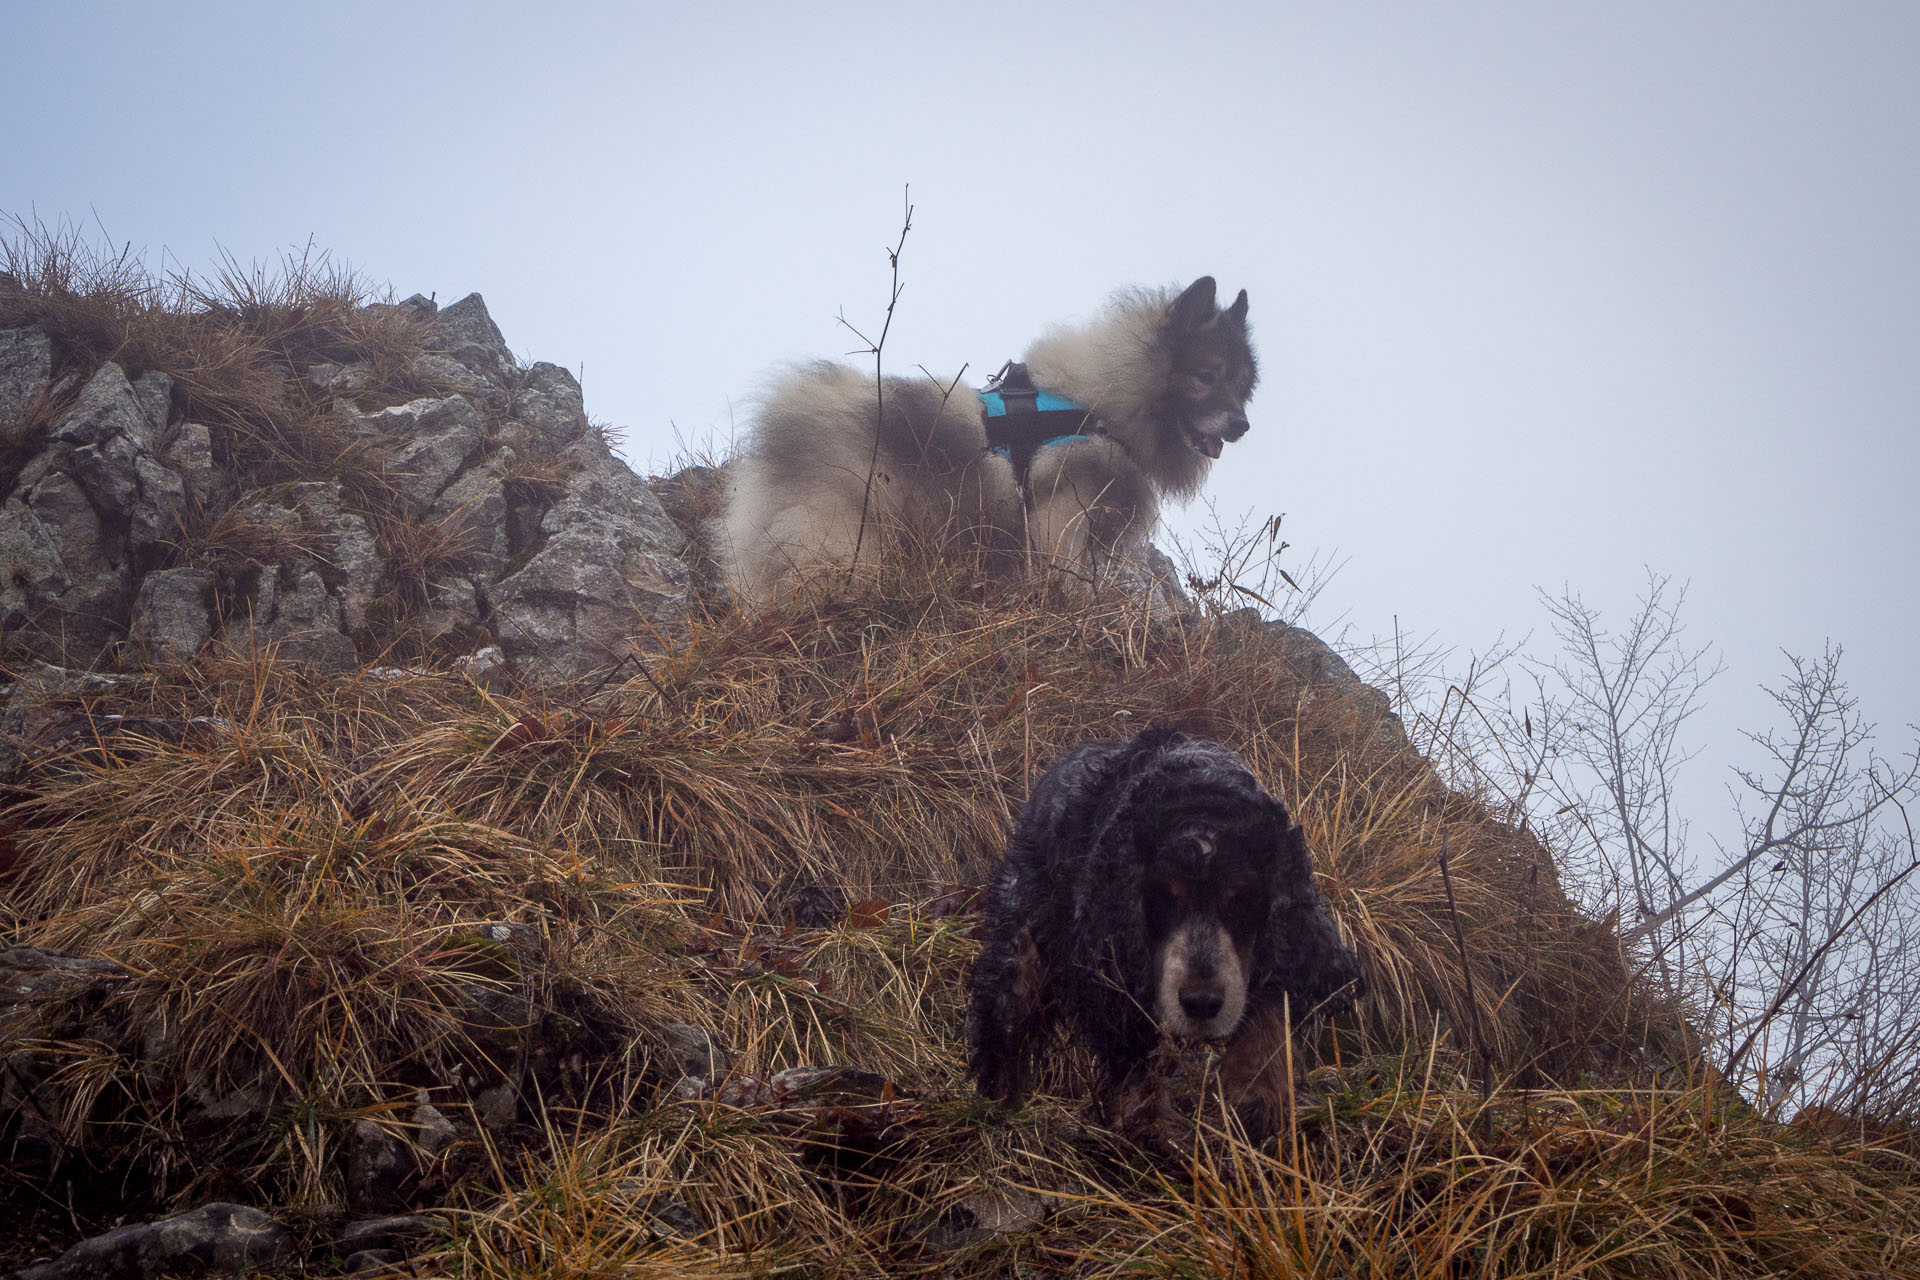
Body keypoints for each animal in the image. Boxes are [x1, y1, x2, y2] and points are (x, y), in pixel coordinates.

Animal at [721, 276, 1259, 606]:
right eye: (1206, 377)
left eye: (1241, 385)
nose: (1242, 426)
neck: (1101, 403)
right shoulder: (1062, 519)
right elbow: (1073, 584)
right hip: (841, 542)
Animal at [967, 729, 1359, 1143]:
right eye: (1162, 898)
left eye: (1240, 900)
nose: (1201, 1003)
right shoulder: (1116, 958)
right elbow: (1134, 1050)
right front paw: (1147, 1122)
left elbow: (1270, 1001)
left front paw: (1255, 1090)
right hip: (1023, 932)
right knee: (1007, 1014)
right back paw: (1001, 1109)